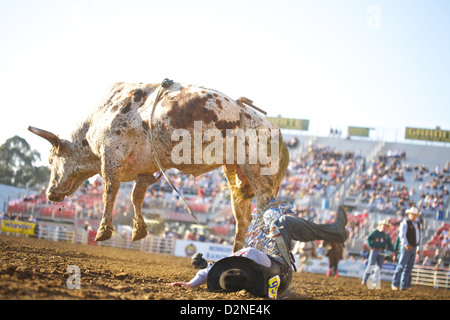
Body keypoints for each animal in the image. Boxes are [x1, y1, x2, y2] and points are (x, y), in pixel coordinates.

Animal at [29, 80, 288, 252]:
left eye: (51, 159)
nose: (50, 193)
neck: (100, 117)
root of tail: (275, 130)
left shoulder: (111, 155)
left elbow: (110, 191)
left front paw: (103, 230)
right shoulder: (145, 167)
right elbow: (136, 195)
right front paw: (139, 230)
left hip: (260, 175)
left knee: (266, 211)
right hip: (237, 177)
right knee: (243, 219)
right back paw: (234, 254)